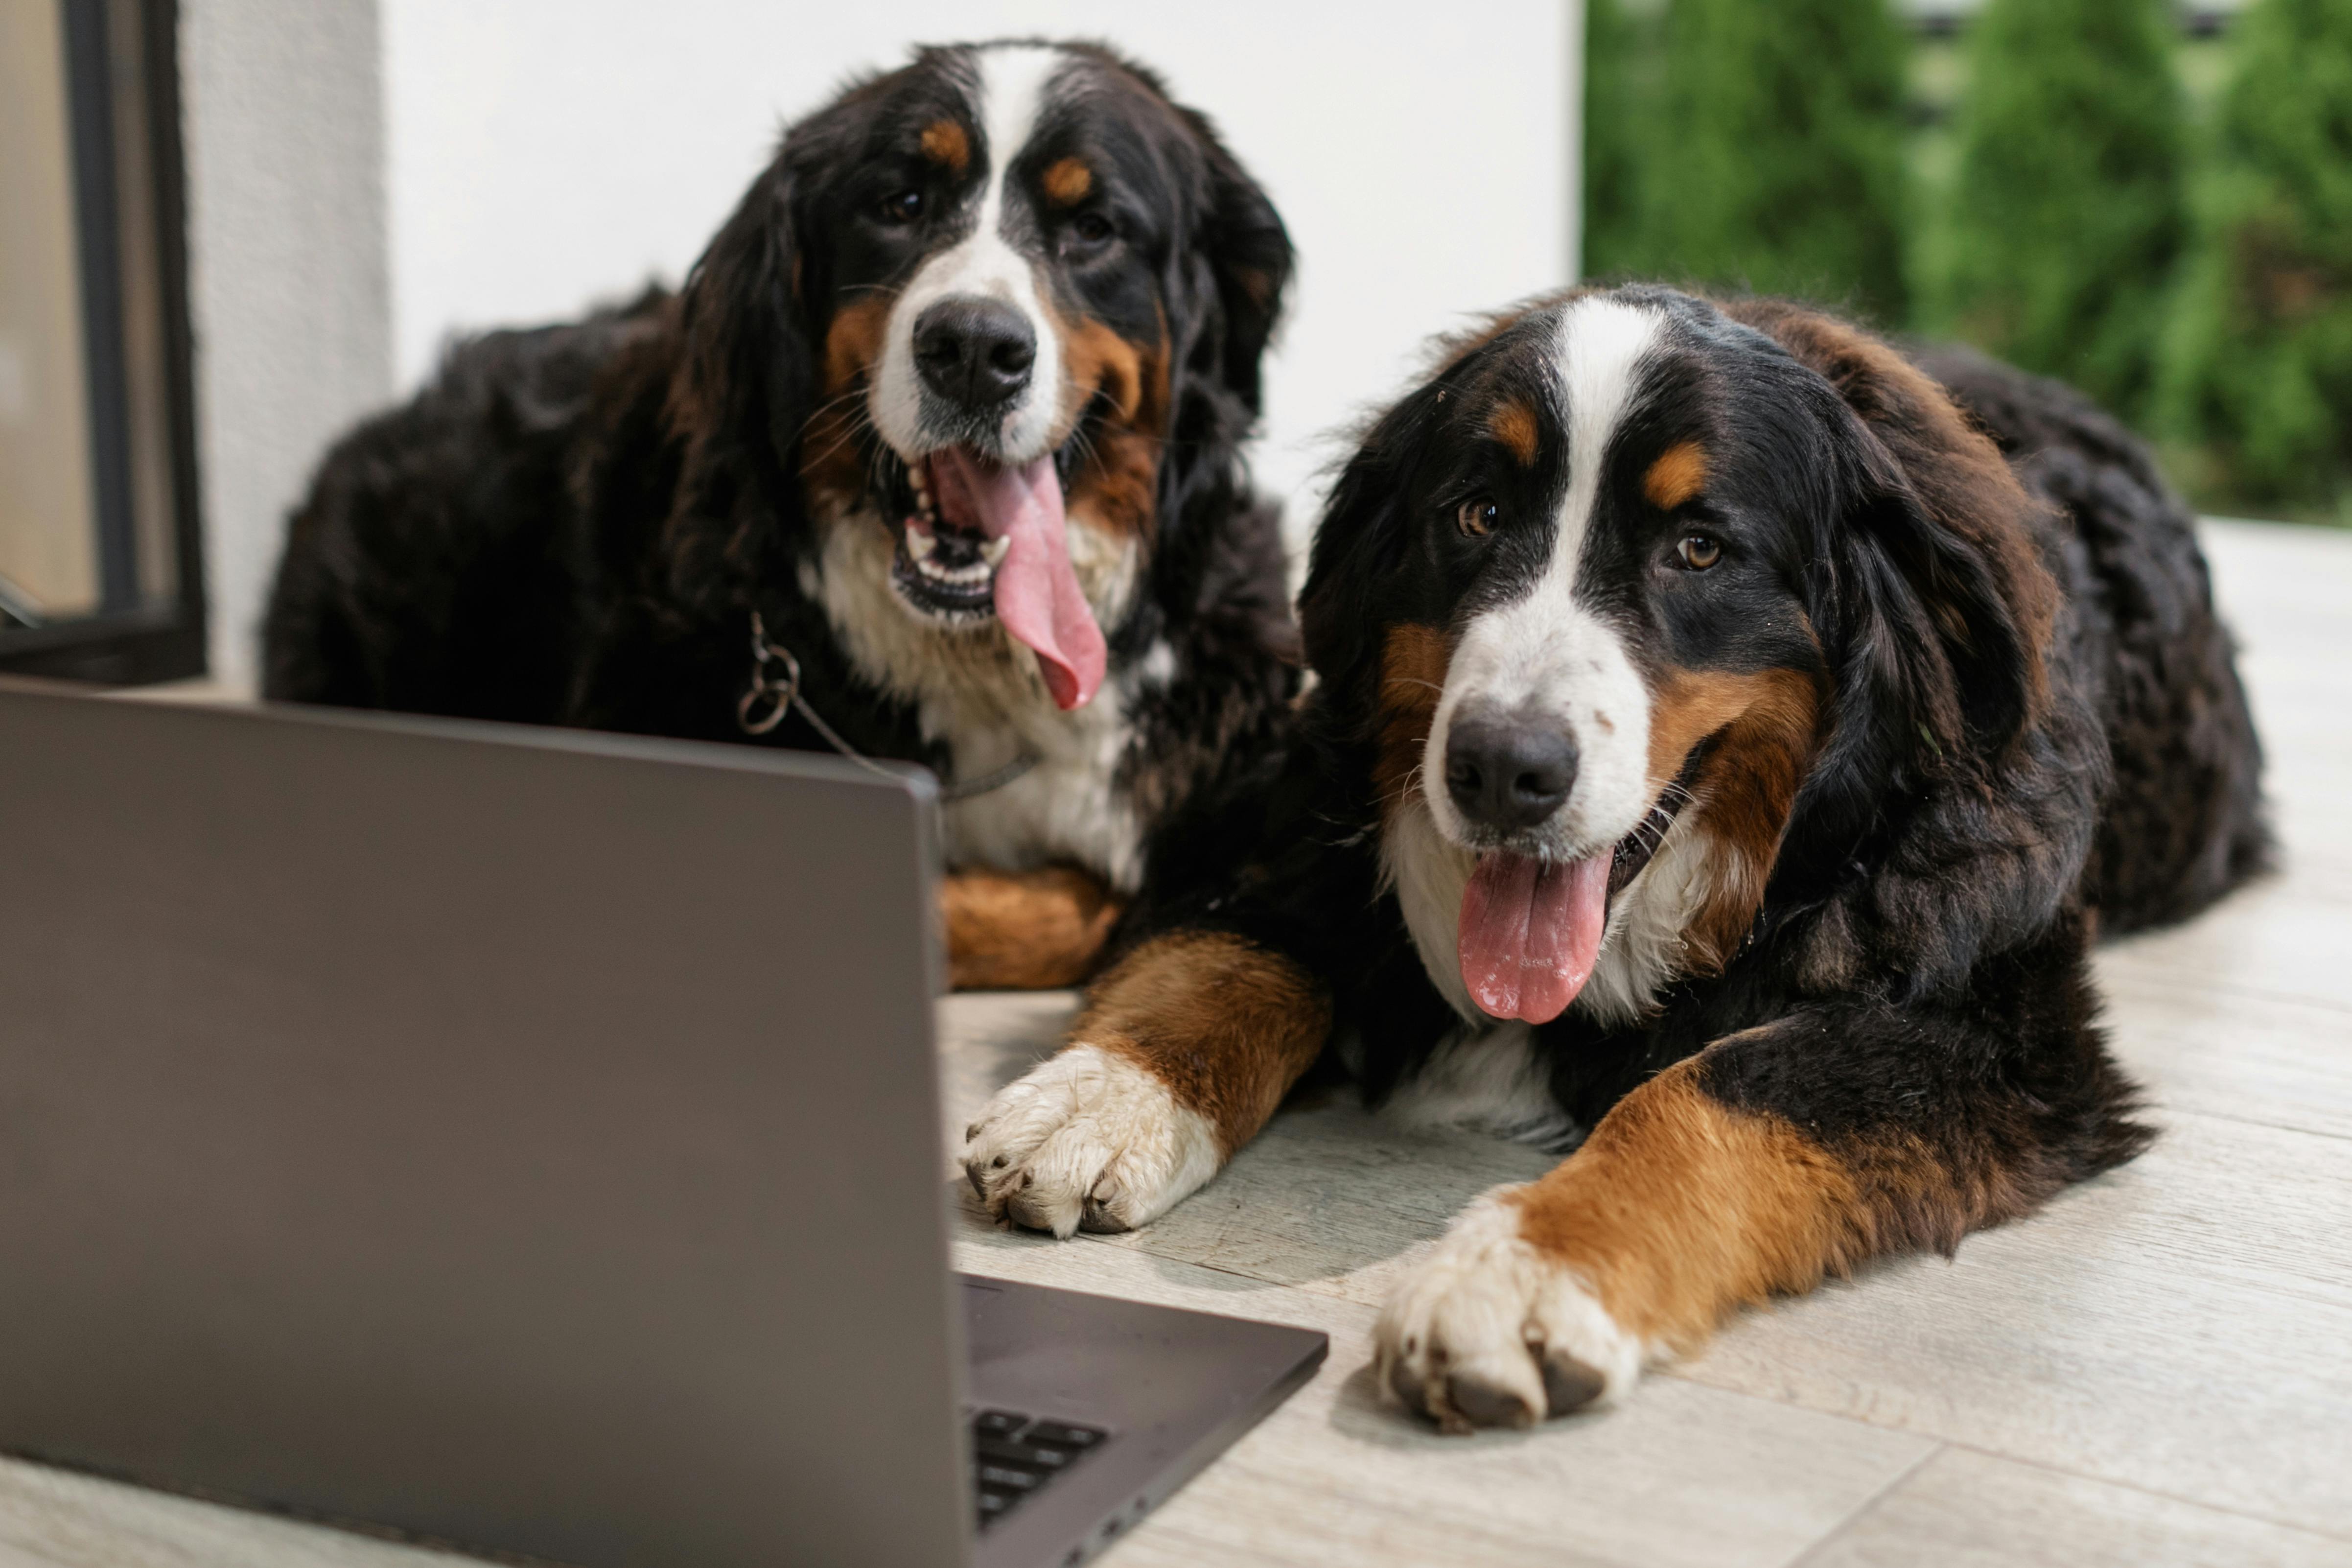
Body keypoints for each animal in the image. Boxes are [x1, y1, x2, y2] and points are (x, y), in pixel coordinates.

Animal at [964, 285, 2267, 1438]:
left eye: (1697, 547)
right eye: (1476, 516)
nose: (1500, 766)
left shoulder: (1996, 1030)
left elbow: (1718, 1089)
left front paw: (1525, 1274)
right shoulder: (1283, 829)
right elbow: (1230, 953)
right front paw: (1097, 1095)